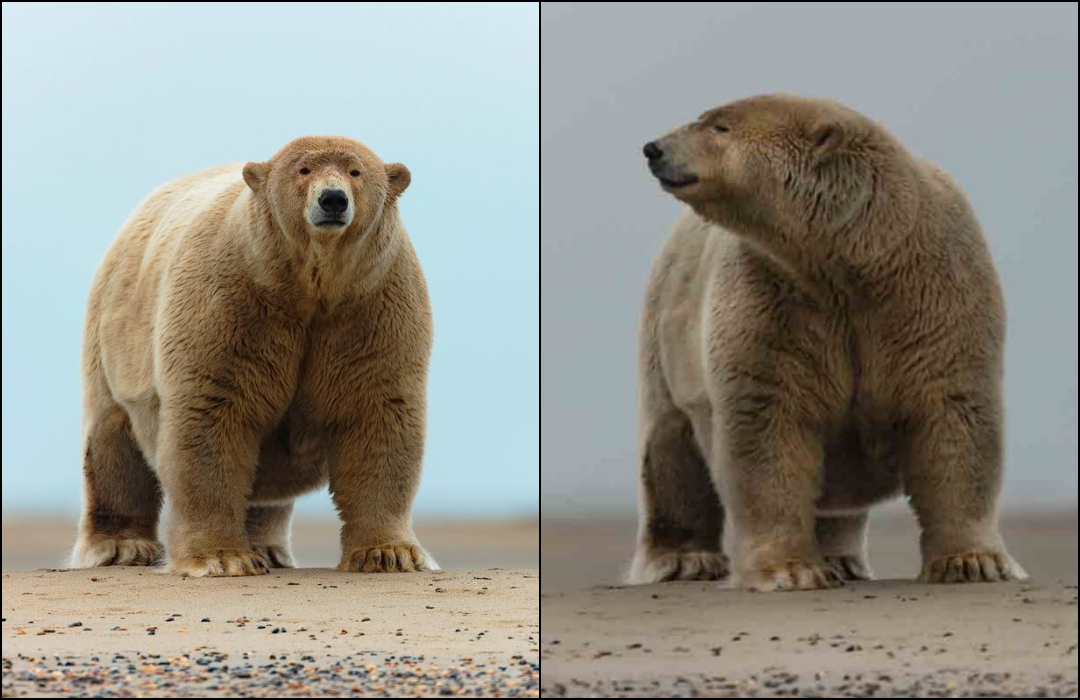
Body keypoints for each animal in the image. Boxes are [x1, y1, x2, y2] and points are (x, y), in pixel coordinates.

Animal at [71, 135, 437, 577]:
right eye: (303, 169)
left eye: (355, 171)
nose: (333, 199)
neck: (309, 286)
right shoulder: (231, 301)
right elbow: (213, 414)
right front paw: (221, 558)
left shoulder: (372, 307)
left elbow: (377, 415)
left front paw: (389, 553)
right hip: (115, 334)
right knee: (112, 441)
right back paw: (122, 547)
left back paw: (269, 547)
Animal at [630, 94, 1027, 591]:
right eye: (705, 118)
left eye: (719, 126)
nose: (654, 148)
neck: (856, 260)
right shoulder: (775, 297)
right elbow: (768, 420)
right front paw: (791, 569)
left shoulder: (936, 291)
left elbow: (953, 412)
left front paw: (973, 561)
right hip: (667, 326)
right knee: (671, 447)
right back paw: (684, 560)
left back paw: (842, 559)